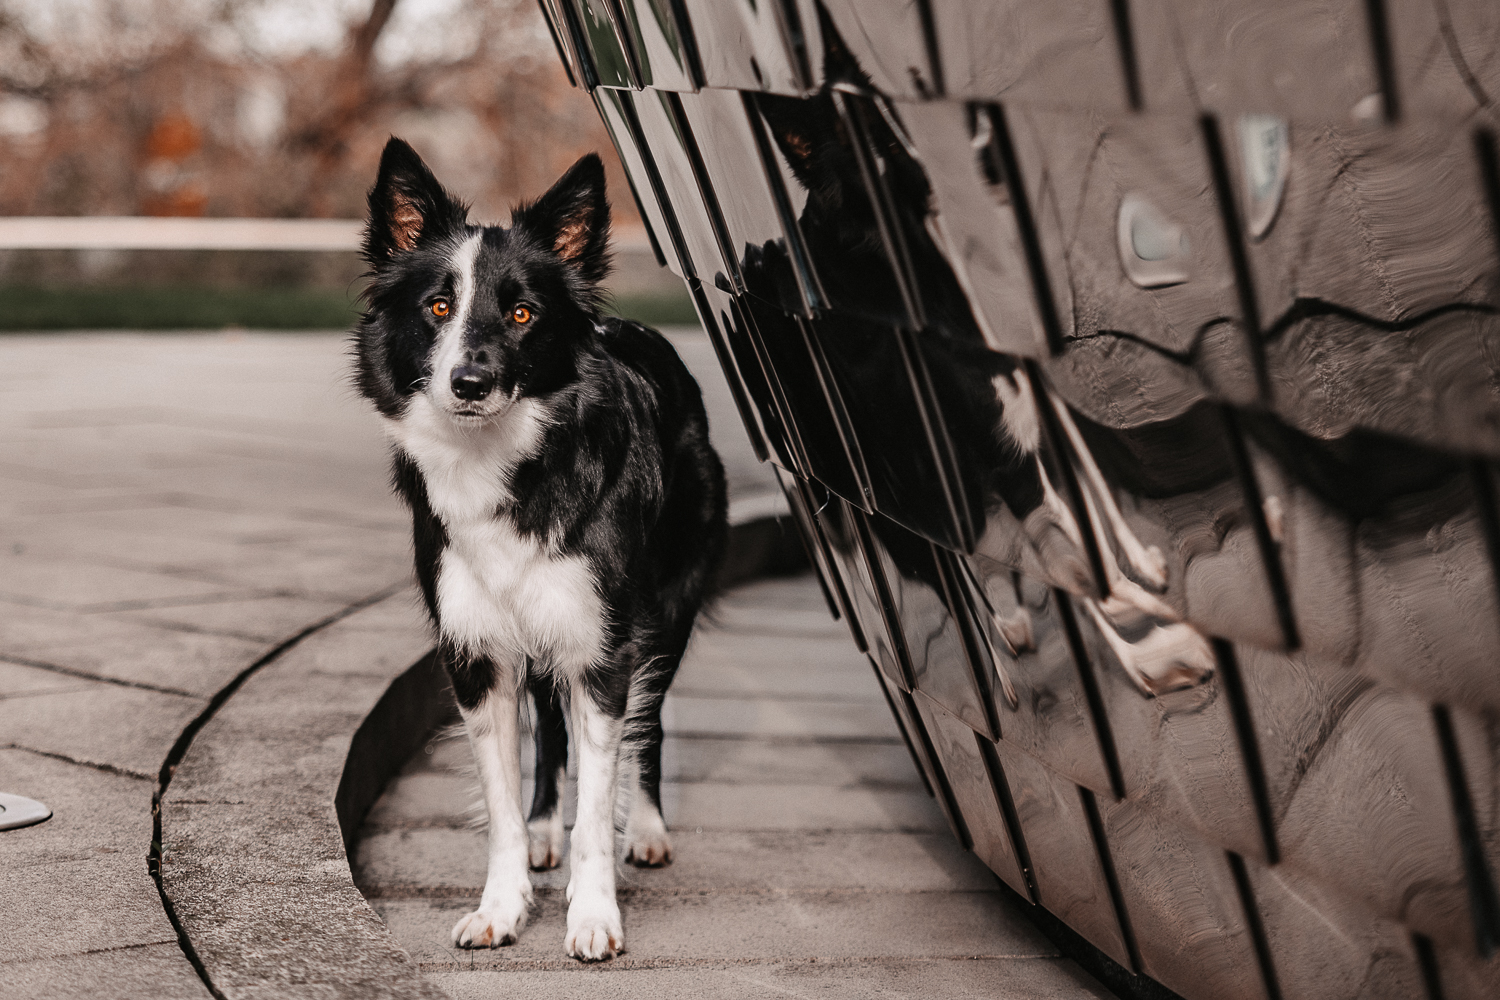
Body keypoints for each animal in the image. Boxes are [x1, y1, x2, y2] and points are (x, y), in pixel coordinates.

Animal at [351, 138, 726, 959]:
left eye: (523, 313)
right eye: (438, 307)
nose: (470, 380)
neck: (506, 462)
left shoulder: (602, 646)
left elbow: (601, 787)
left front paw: (593, 917)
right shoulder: (477, 654)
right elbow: (502, 803)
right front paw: (504, 903)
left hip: (666, 612)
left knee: (649, 724)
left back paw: (645, 829)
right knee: (551, 735)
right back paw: (545, 828)